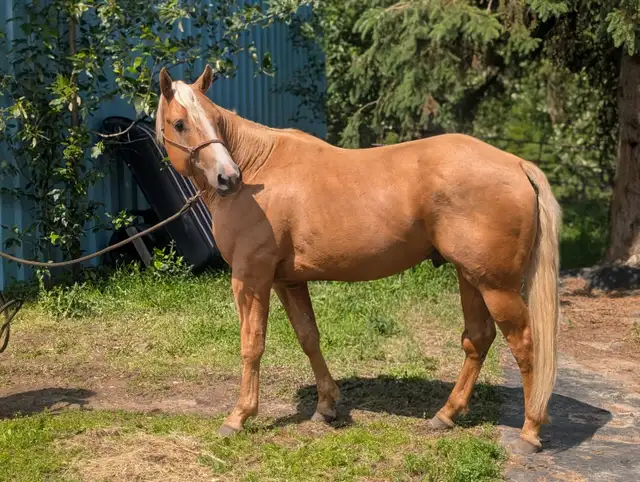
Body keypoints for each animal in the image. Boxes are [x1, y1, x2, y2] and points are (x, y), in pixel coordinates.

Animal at [155, 65, 561, 454]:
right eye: (180, 123)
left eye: (213, 118)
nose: (228, 177)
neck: (259, 169)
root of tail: (517, 164)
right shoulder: (288, 280)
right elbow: (309, 337)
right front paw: (326, 406)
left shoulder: (250, 278)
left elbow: (252, 344)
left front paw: (239, 416)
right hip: (470, 276)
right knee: (478, 339)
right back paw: (446, 415)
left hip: (496, 286)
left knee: (525, 344)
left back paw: (529, 431)